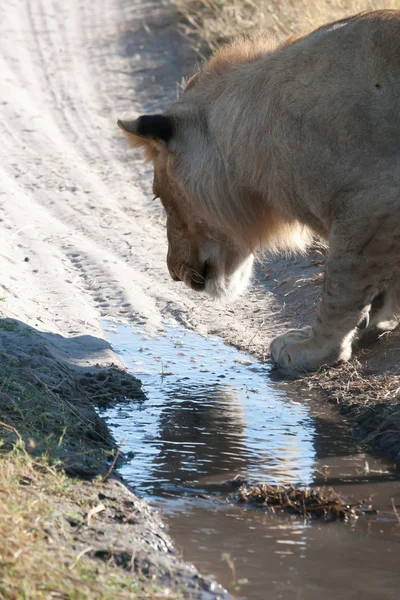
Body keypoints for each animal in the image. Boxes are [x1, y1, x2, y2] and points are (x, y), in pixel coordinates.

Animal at [118, 9, 400, 372]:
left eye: (160, 197)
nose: (173, 272)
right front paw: (375, 321)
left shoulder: (369, 203)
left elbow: (339, 285)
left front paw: (314, 348)